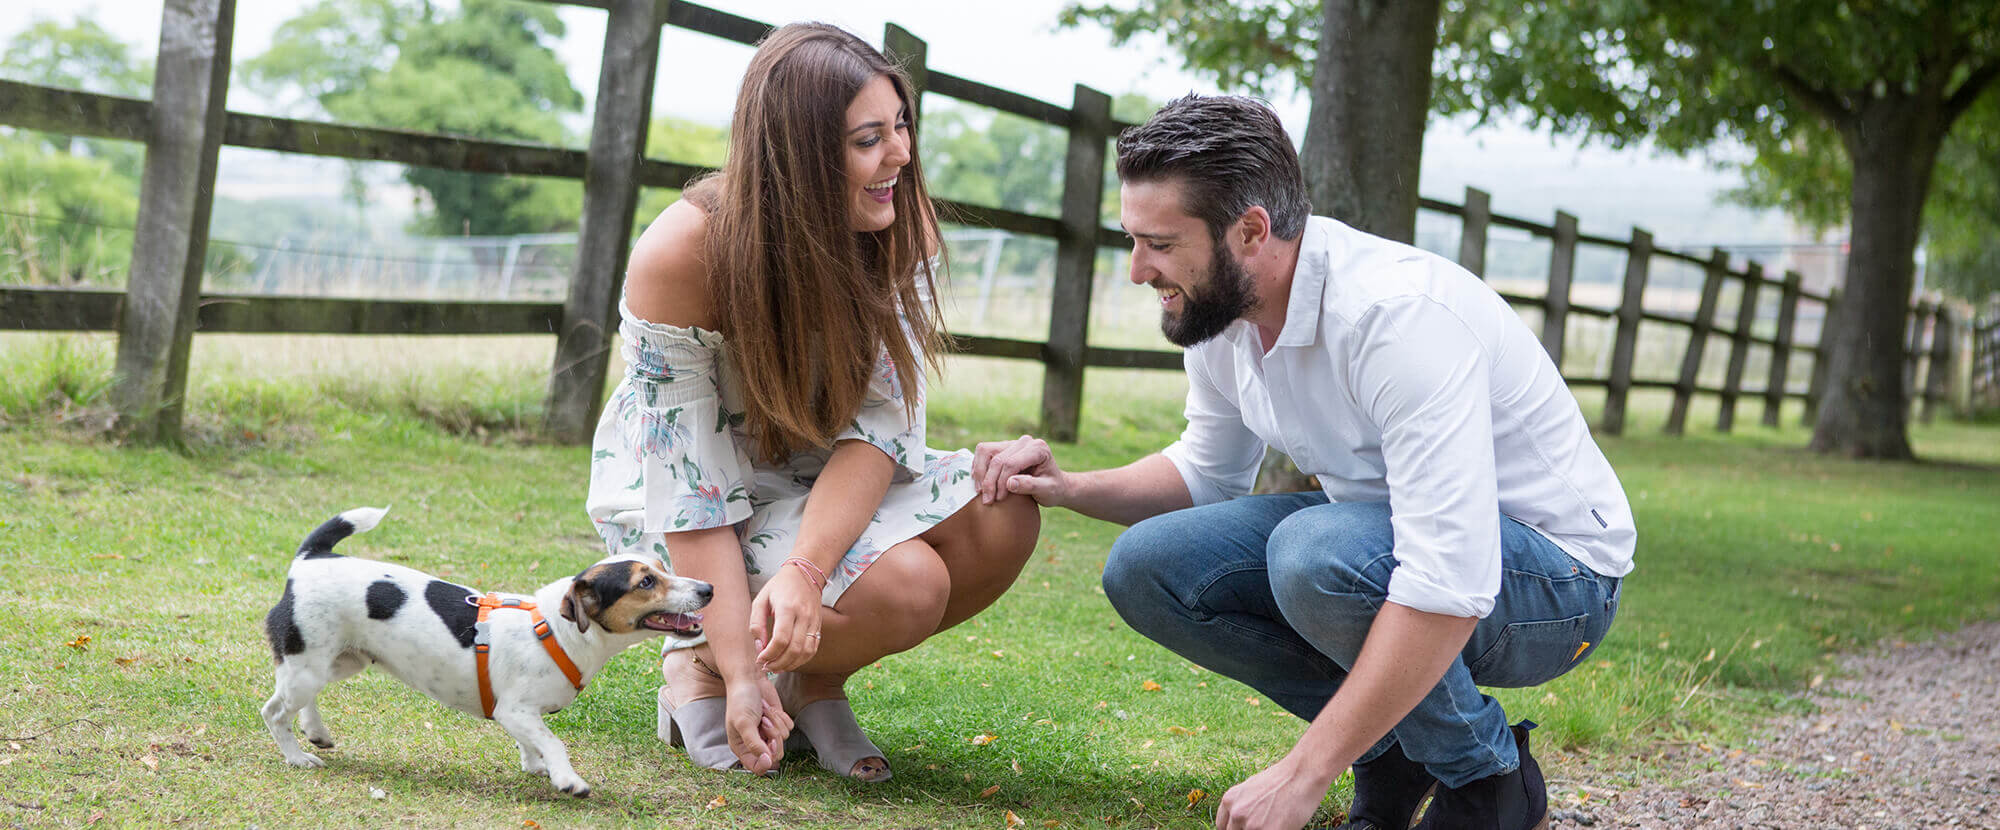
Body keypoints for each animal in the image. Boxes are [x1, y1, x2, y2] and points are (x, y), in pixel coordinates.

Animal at [258, 508, 712, 800]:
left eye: (662, 567)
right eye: (646, 582)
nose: (708, 589)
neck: (555, 629)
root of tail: (311, 559)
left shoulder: (519, 716)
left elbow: (534, 745)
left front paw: (538, 766)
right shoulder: (515, 710)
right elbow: (555, 742)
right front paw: (568, 779)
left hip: (339, 661)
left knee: (302, 701)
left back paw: (316, 731)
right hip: (308, 665)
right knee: (274, 711)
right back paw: (297, 757)